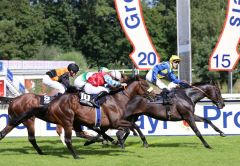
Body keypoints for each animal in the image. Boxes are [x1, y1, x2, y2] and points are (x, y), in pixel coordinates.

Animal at [0, 77, 153, 159]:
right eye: (146, 85)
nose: (154, 96)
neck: (117, 99)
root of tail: (14, 100)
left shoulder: (104, 123)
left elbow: (121, 129)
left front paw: (114, 140)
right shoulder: (115, 122)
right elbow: (132, 127)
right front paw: (140, 142)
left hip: (19, 119)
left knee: (5, 133)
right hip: (41, 120)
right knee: (53, 138)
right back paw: (75, 154)